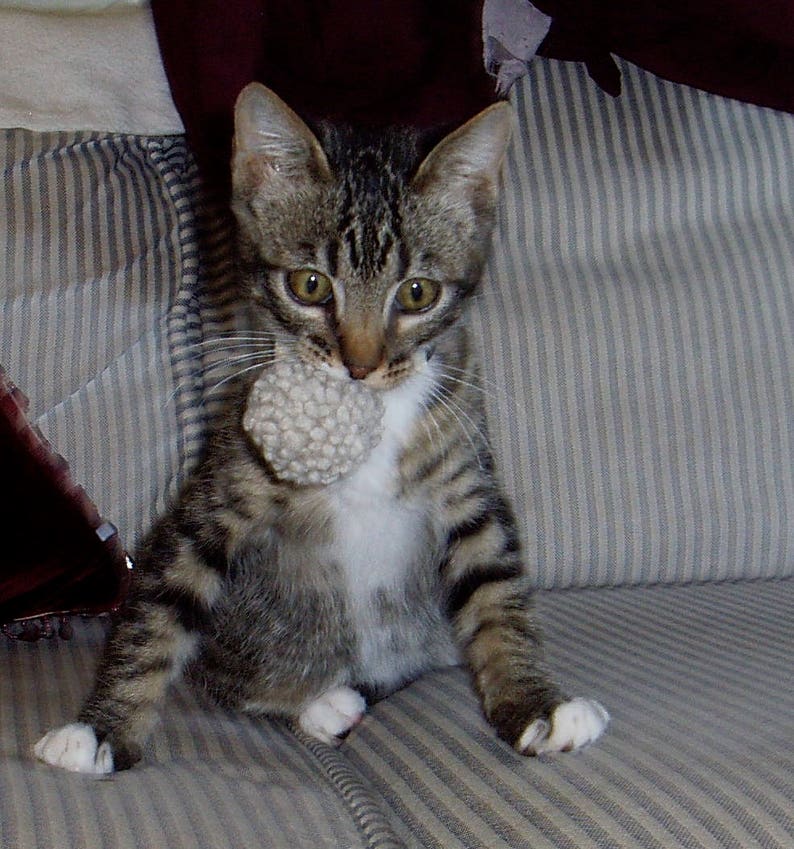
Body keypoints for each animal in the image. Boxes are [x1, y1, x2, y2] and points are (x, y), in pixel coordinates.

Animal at [34, 84, 608, 768]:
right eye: (310, 285)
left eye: (417, 293)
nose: (360, 365)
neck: (373, 417)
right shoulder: (225, 483)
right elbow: (161, 602)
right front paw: (102, 728)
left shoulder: (467, 477)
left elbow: (495, 589)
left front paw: (534, 705)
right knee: (224, 668)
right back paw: (317, 701)